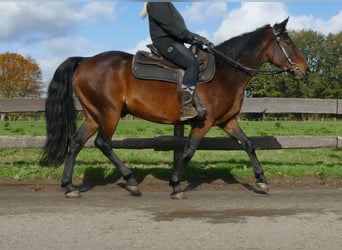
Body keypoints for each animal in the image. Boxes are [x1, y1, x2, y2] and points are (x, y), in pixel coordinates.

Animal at [40, 18, 310, 199]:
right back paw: (131, 181)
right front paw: (176, 185)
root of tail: (84, 60)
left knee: (76, 143)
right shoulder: (204, 123)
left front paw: (261, 180)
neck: (225, 73)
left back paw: (69, 186)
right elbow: (188, 151)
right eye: (288, 41)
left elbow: (248, 145)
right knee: (102, 143)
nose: (305, 70)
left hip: (93, 115)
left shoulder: (228, 122)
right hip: (109, 114)